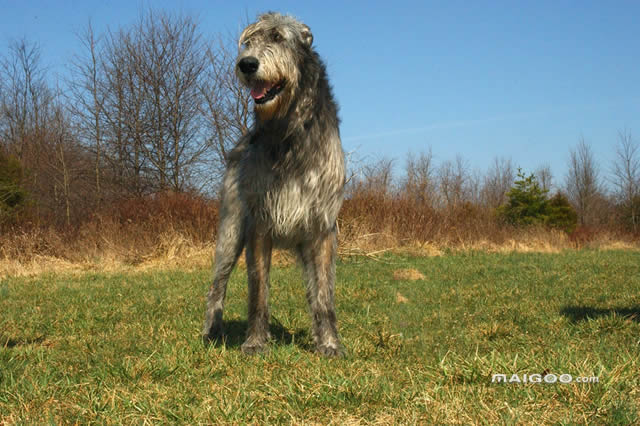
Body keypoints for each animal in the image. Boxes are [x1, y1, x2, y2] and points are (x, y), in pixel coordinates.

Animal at [204, 12, 344, 356]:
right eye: (248, 42)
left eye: (279, 37)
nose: (247, 64)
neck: (288, 130)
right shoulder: (259, 224)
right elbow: (258, 291)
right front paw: (255, 342)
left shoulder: (323, 227)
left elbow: (324, 294)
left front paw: (329, 343)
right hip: (230, 231)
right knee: (217, 285)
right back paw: (212, 331)